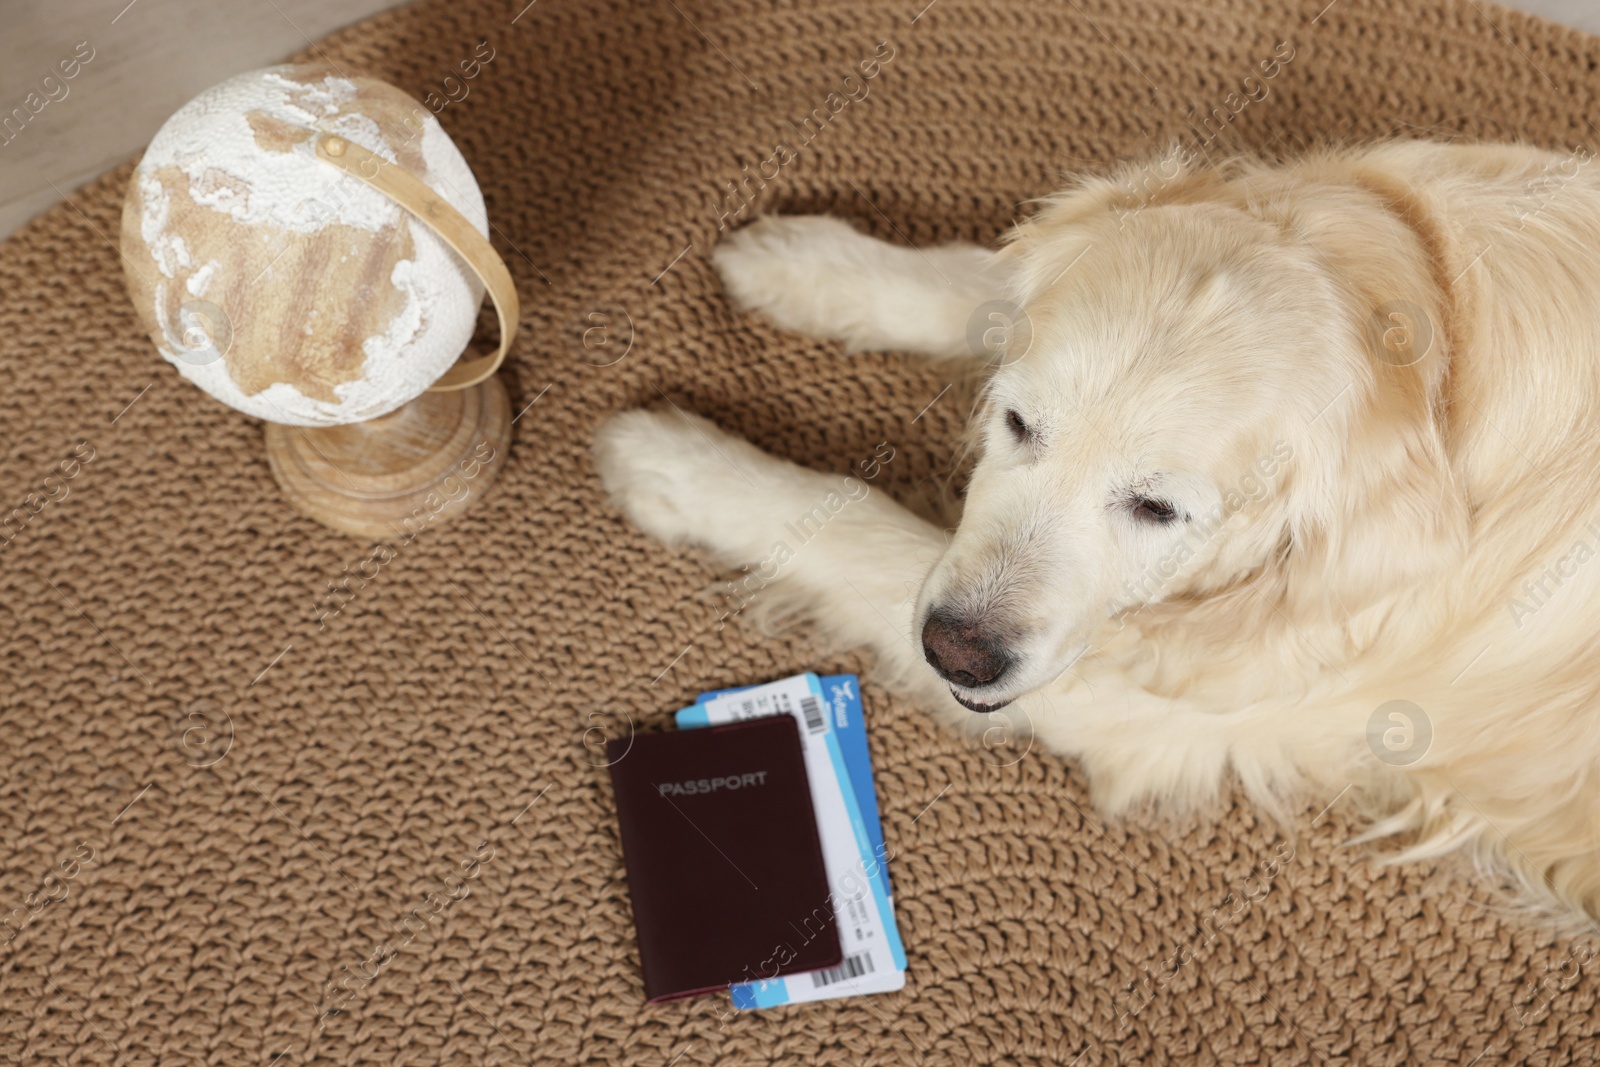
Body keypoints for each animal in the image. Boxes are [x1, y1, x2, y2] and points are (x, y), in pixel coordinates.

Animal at [595, 141, 1600, 927]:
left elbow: (860, 524)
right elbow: (979, 283)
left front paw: (682, 467)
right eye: (1015, 423)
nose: (960, 653)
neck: (1444, 356)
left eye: (1159, 510)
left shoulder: (1146, 704)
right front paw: (812, 266)